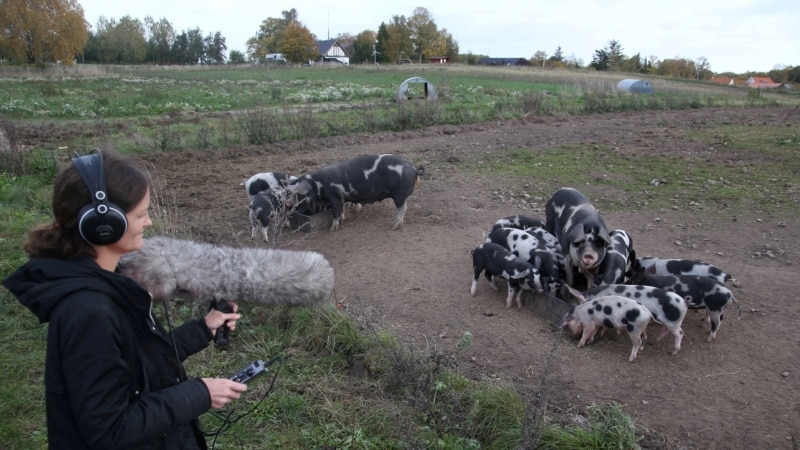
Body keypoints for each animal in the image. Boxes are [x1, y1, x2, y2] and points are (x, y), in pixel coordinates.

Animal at [286, 155, 424, 232]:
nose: (287, 203)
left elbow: (336, 211)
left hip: (399, 194)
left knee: (403, 208)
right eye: (289, 192)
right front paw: (342, 219)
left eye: (298, 194)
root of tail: (413, 168)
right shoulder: (340, 198)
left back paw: (394, 226)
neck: (318, 185)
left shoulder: (335, 196)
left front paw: (332, 229)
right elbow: (341, 210)